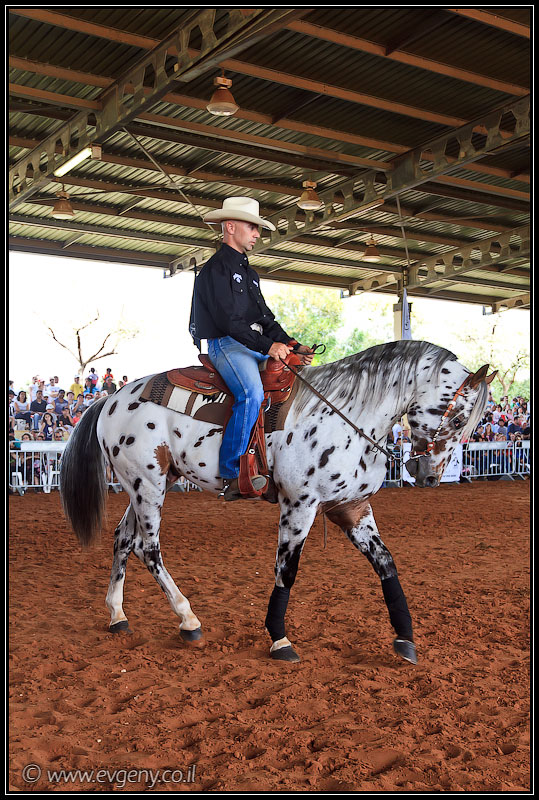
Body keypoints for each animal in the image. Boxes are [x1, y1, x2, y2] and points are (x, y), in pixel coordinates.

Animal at [60, 340, 493, 665]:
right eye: (459, 420)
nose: (429, 475)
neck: (346, 415)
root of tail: (112, 399)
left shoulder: (352, 508)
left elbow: (386, 563)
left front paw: (405, 638)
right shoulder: (299, 505)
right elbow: (287, 570)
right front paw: (279, 639)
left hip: (149, 483)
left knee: (123, 539)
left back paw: (117, 615)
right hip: (147, 484)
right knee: (148, 549)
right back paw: (188, 619)